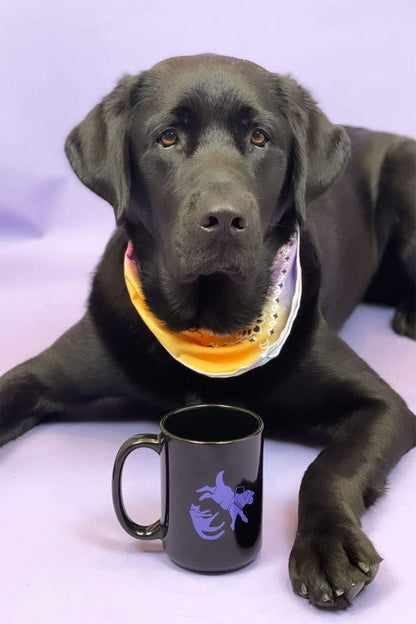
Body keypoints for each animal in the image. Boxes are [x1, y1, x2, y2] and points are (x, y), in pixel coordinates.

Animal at [0, 54, 416, 608]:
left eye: (260, 137)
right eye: (167, 138)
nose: (222, 219)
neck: (207, 327)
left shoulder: (384, 406)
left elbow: (328, 468)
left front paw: (329, 546)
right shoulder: (44, 370)